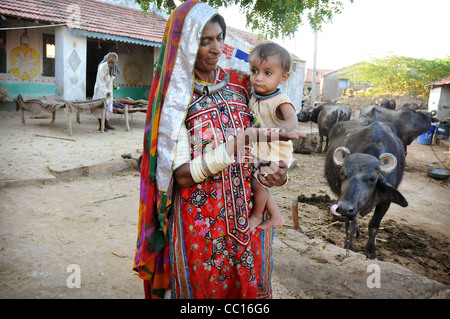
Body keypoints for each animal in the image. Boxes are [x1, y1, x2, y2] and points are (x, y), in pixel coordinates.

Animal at [326, 119, 410, 260]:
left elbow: (374, 226)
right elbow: (351, 225)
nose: (344, 207)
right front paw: (348, 246)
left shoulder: (385, 202)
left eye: (372, 178)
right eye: (343, 173)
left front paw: (370, 251)